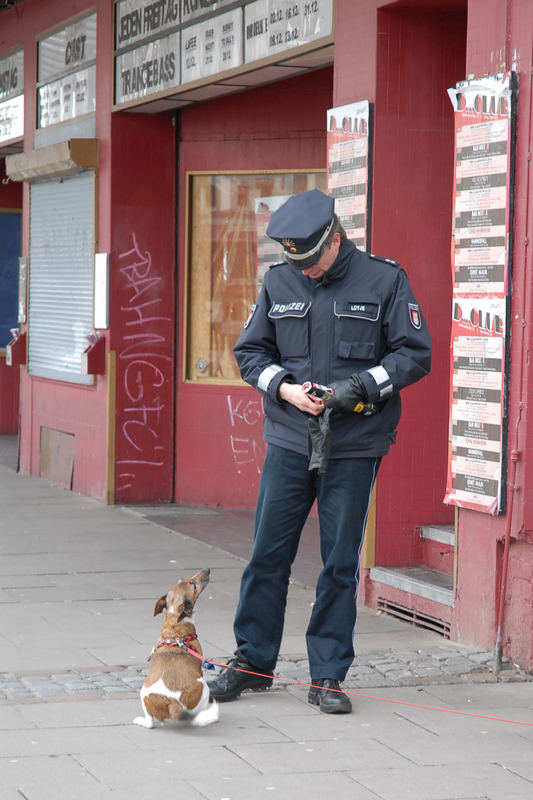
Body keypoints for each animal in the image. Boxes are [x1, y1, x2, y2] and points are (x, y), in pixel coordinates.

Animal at [133, 564, 218, 728]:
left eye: (182, 578)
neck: (175, 627)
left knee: (149, 722)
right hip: (204, 687)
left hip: (143, 690)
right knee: (196, 717)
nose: (208, 569)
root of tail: (172, 702)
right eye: (193, 585)